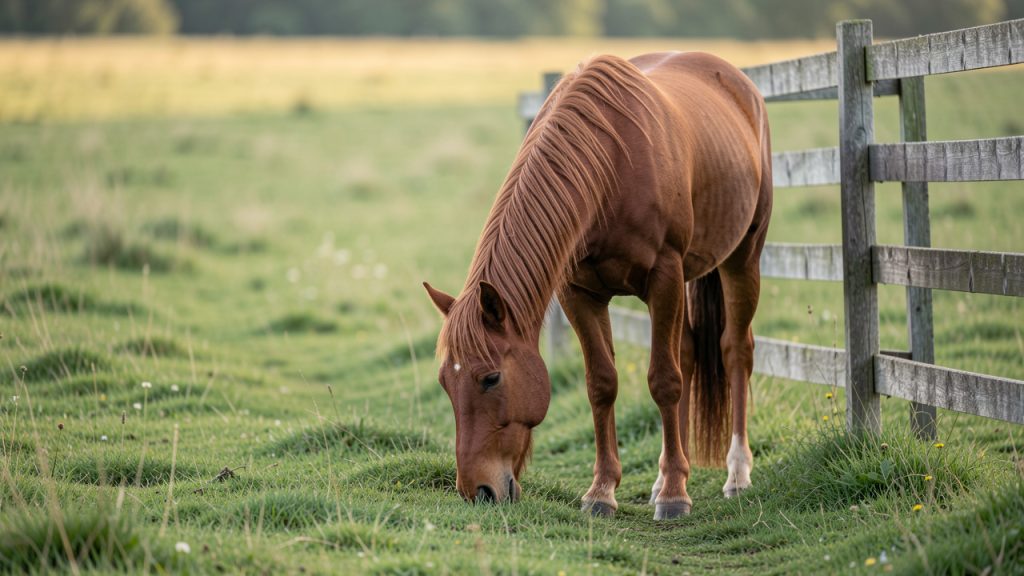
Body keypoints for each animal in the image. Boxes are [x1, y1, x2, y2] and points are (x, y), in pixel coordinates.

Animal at [424, 51, 772, 520]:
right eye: (445, 382)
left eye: (491, 378)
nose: (476, 491)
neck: (610, 169)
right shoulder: (579, 293)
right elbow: (602, 384)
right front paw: (603, 491)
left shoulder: (663, 277)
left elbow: (664, 380)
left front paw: (675, 496)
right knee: (688, 353)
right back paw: (666, 474)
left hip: (741, 259)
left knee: (734, 351)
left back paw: (734, 474)